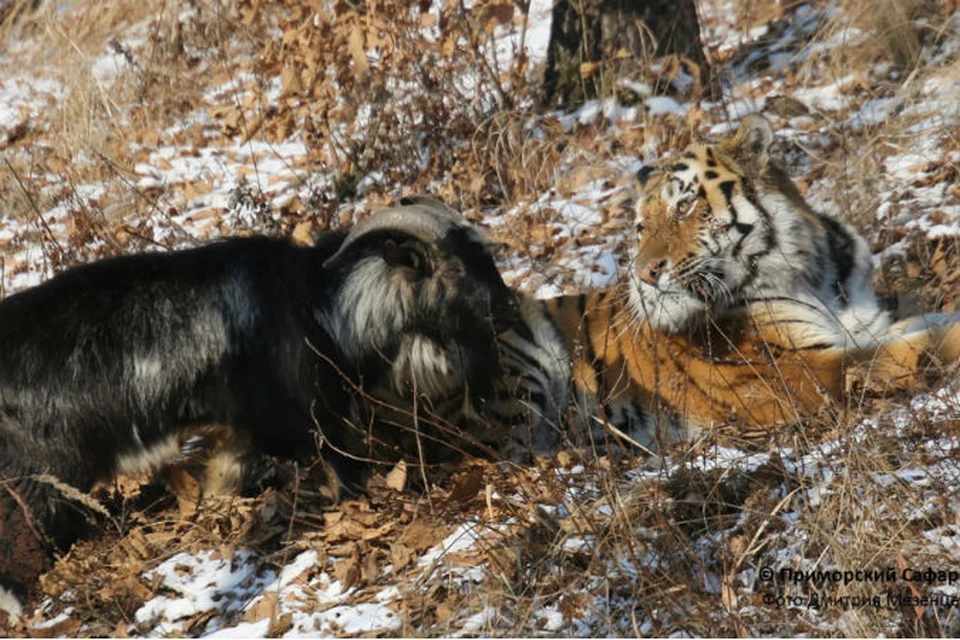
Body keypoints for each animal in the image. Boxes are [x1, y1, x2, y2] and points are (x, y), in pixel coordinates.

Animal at [0, 199, 516, 620]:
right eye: (452, 268)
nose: (508, 306)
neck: (319, 307)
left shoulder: (237, 433)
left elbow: (223, 482)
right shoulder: (312, 424)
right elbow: (345, 476)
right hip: (39, 481)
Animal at [496, 114, 960, 456]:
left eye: (684, 206)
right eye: (642, 227)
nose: (643, 273)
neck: (816, 274)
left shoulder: (866, 325)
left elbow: (924, 325)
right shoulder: (792, 371)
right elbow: (907, 352)